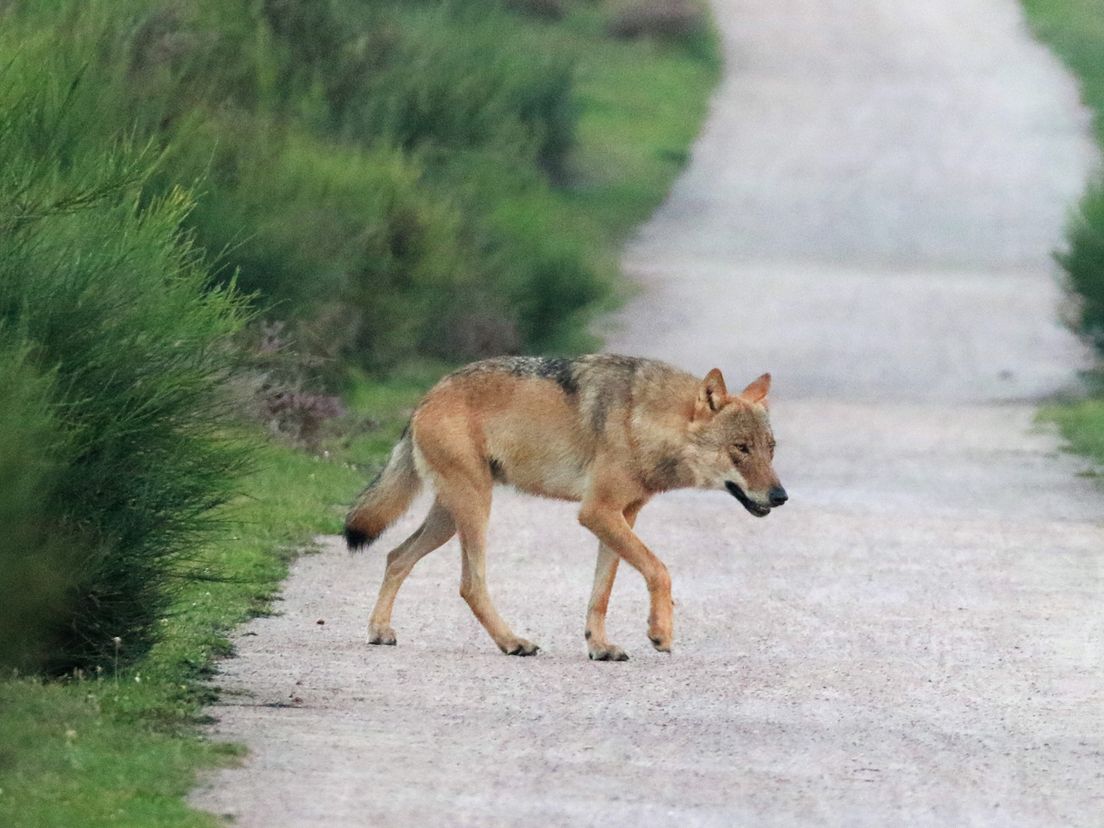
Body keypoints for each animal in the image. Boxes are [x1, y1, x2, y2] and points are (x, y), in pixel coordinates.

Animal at [344, 355, 786, 662]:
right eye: (741, 449)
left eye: (770, 448)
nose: (781, 496)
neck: (643, 422)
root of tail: (427, 396)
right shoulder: (596, 512)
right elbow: (659, 569)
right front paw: (660, 633)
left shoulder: (623, 516)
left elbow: (601, 593)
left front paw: (600, 647)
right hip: (474, 508)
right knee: (469, 584)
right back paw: (513, 642)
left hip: (448, 519)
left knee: (395, 555)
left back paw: (379, 631)